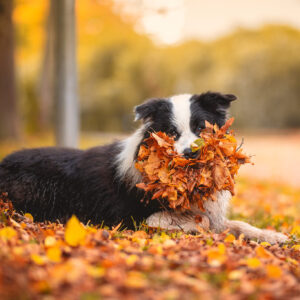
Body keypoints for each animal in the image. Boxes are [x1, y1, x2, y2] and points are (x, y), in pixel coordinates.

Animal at [0, 92, 288, 244]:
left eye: (201, 128)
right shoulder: (138, 217)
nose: (191, 152)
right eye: (171, 133)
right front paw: (197, 227)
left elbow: (237, 223)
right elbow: (202, 221)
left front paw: (274, 236)